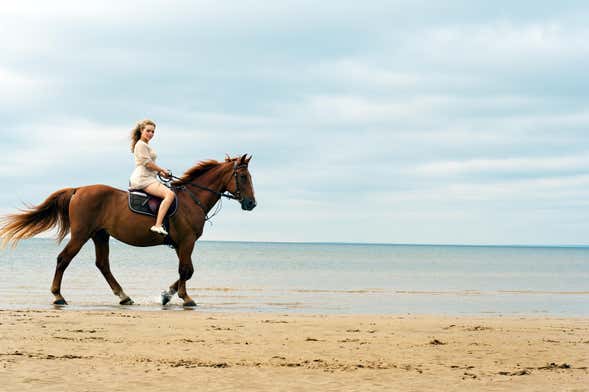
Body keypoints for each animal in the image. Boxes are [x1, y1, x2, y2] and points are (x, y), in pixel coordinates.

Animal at [0, 153, 258, 306]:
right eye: (244, 176)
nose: (251, 203)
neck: (191, 199)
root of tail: (78, 189)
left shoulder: (180, 244)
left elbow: (186, 271)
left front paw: (167, 294)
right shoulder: (187, 241)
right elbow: (186, 270)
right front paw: (185, 298)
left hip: (100, 235)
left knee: (102, 265)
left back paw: (123, 296)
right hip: (82, 234)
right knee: (64, 259)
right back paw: (58, 296)